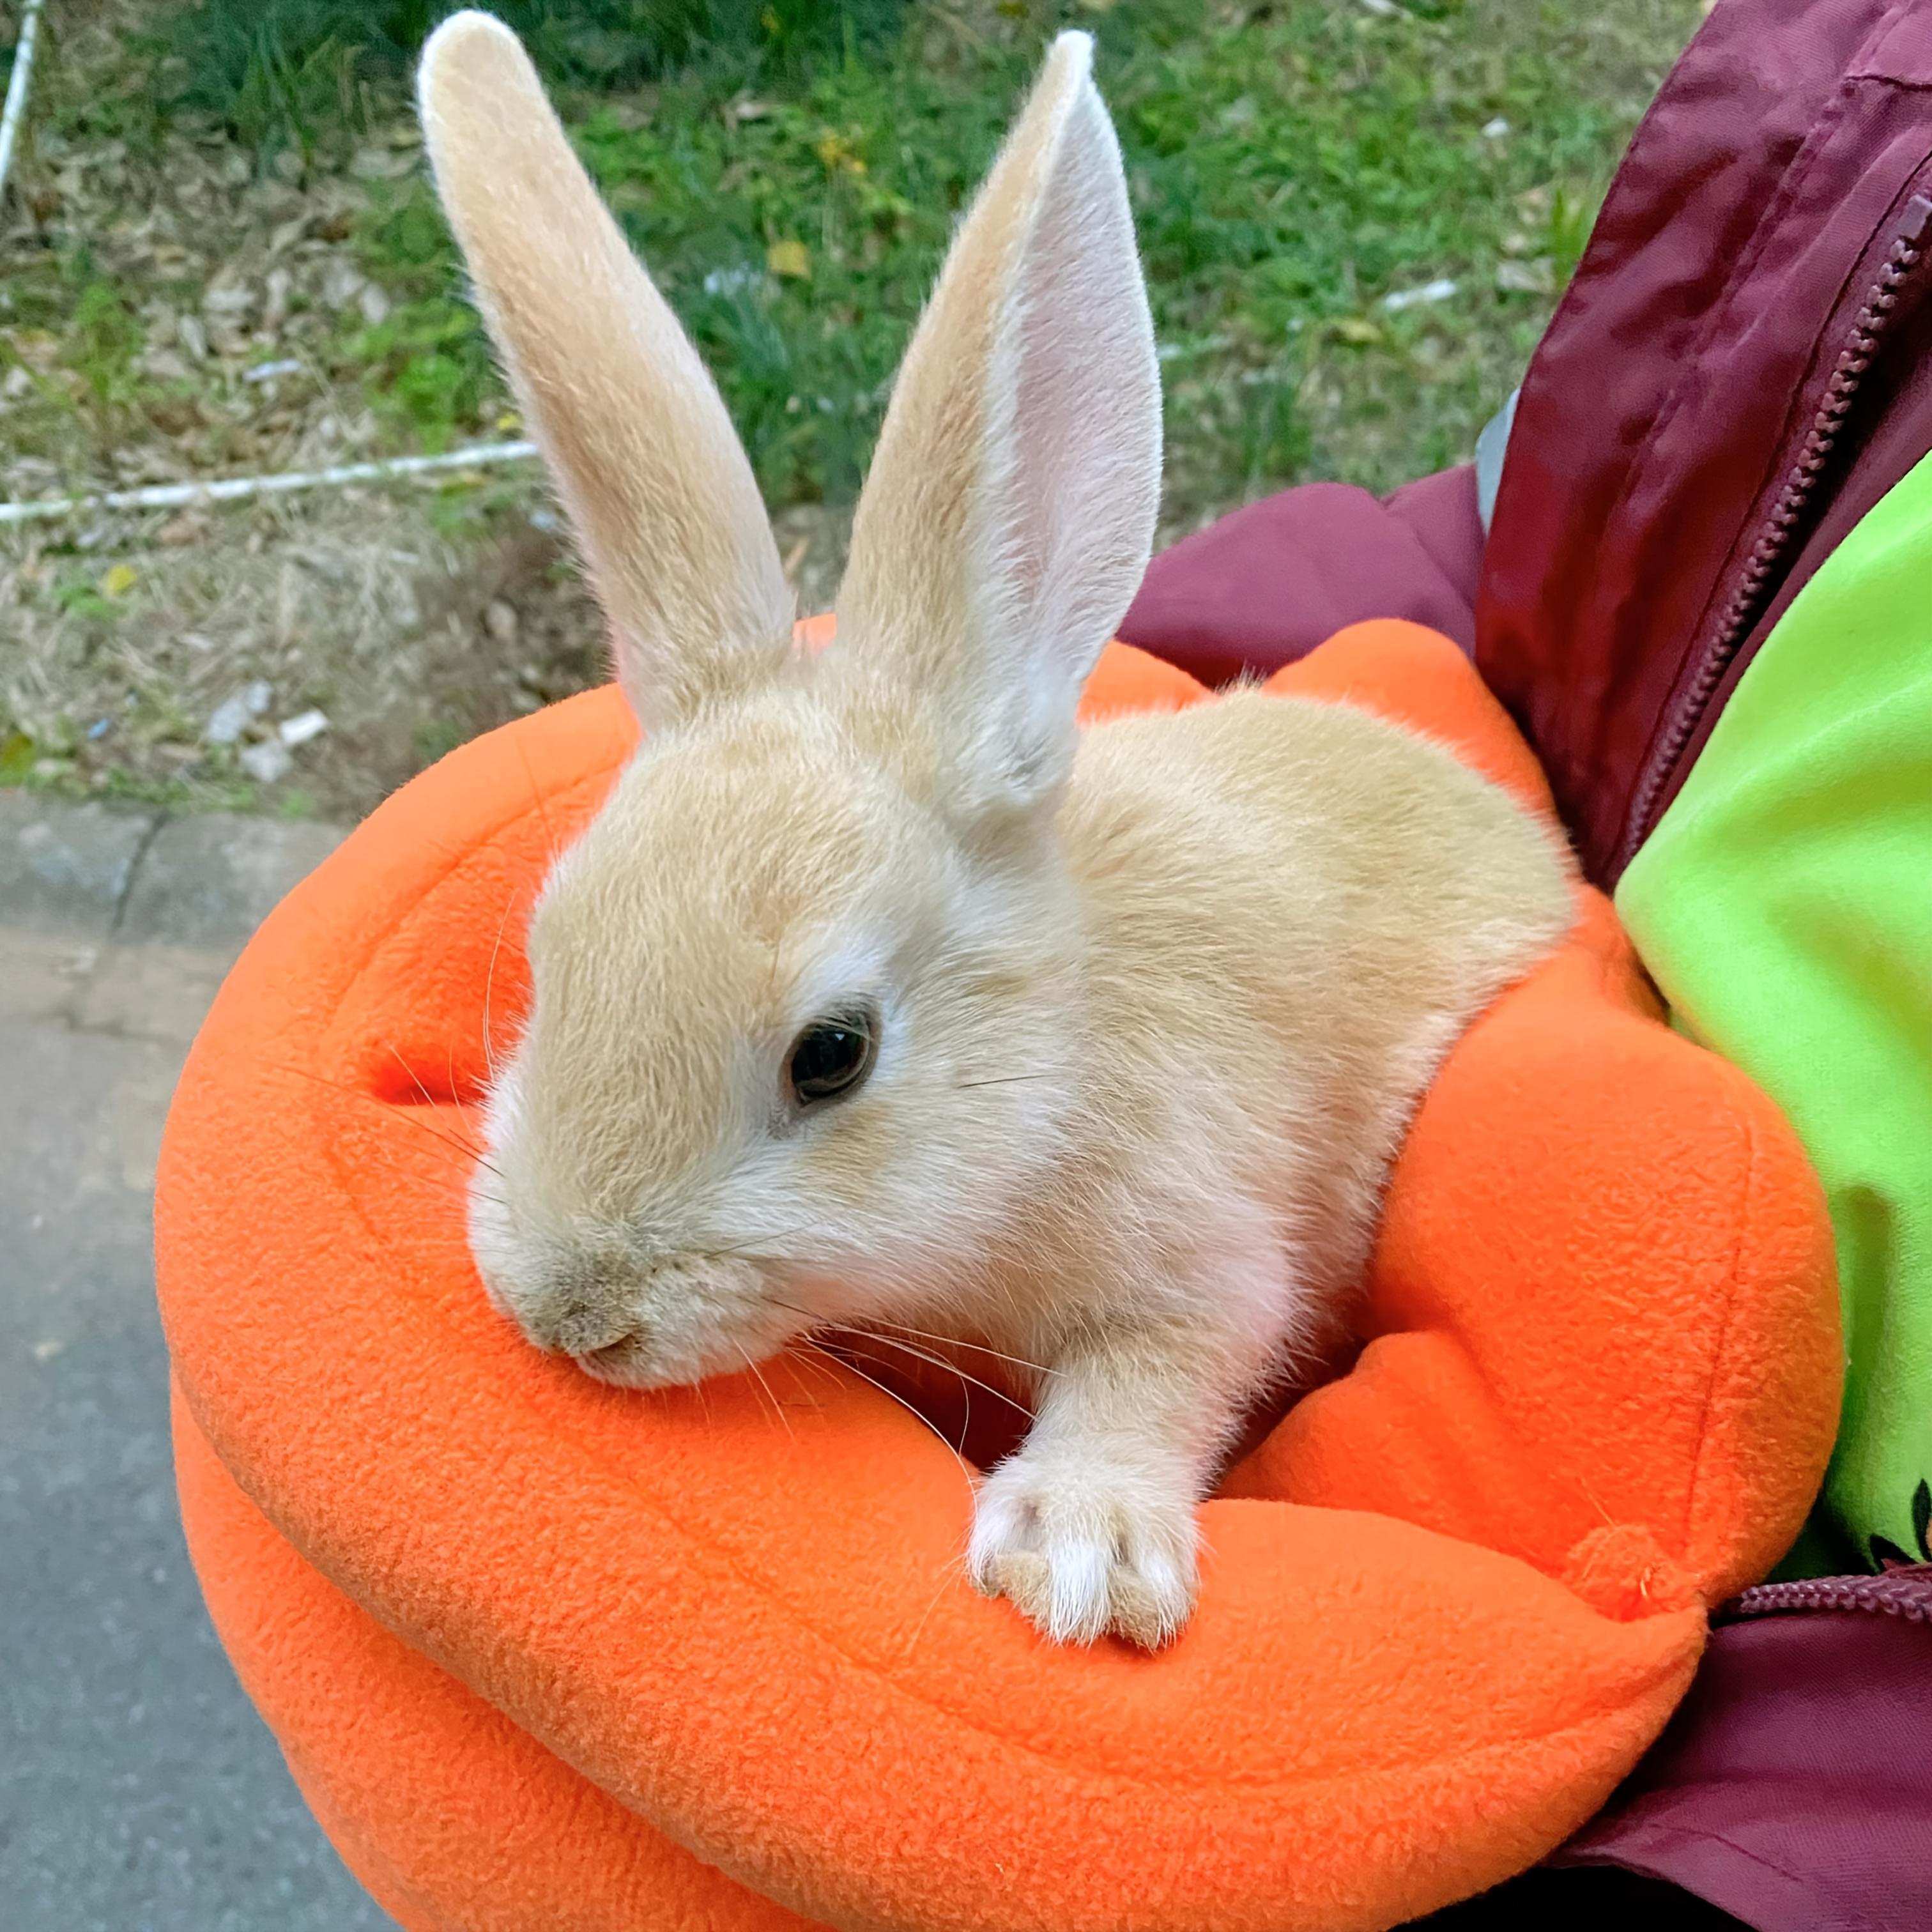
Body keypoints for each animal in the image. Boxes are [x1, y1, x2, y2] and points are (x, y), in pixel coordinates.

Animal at [418, 12, 1575, 1650]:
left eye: (833, 1055)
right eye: (549, 954)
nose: (568, 1316)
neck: (1050, 1066)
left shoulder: (1205, 1251)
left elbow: (1169, 1363)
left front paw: (1074, 1556)